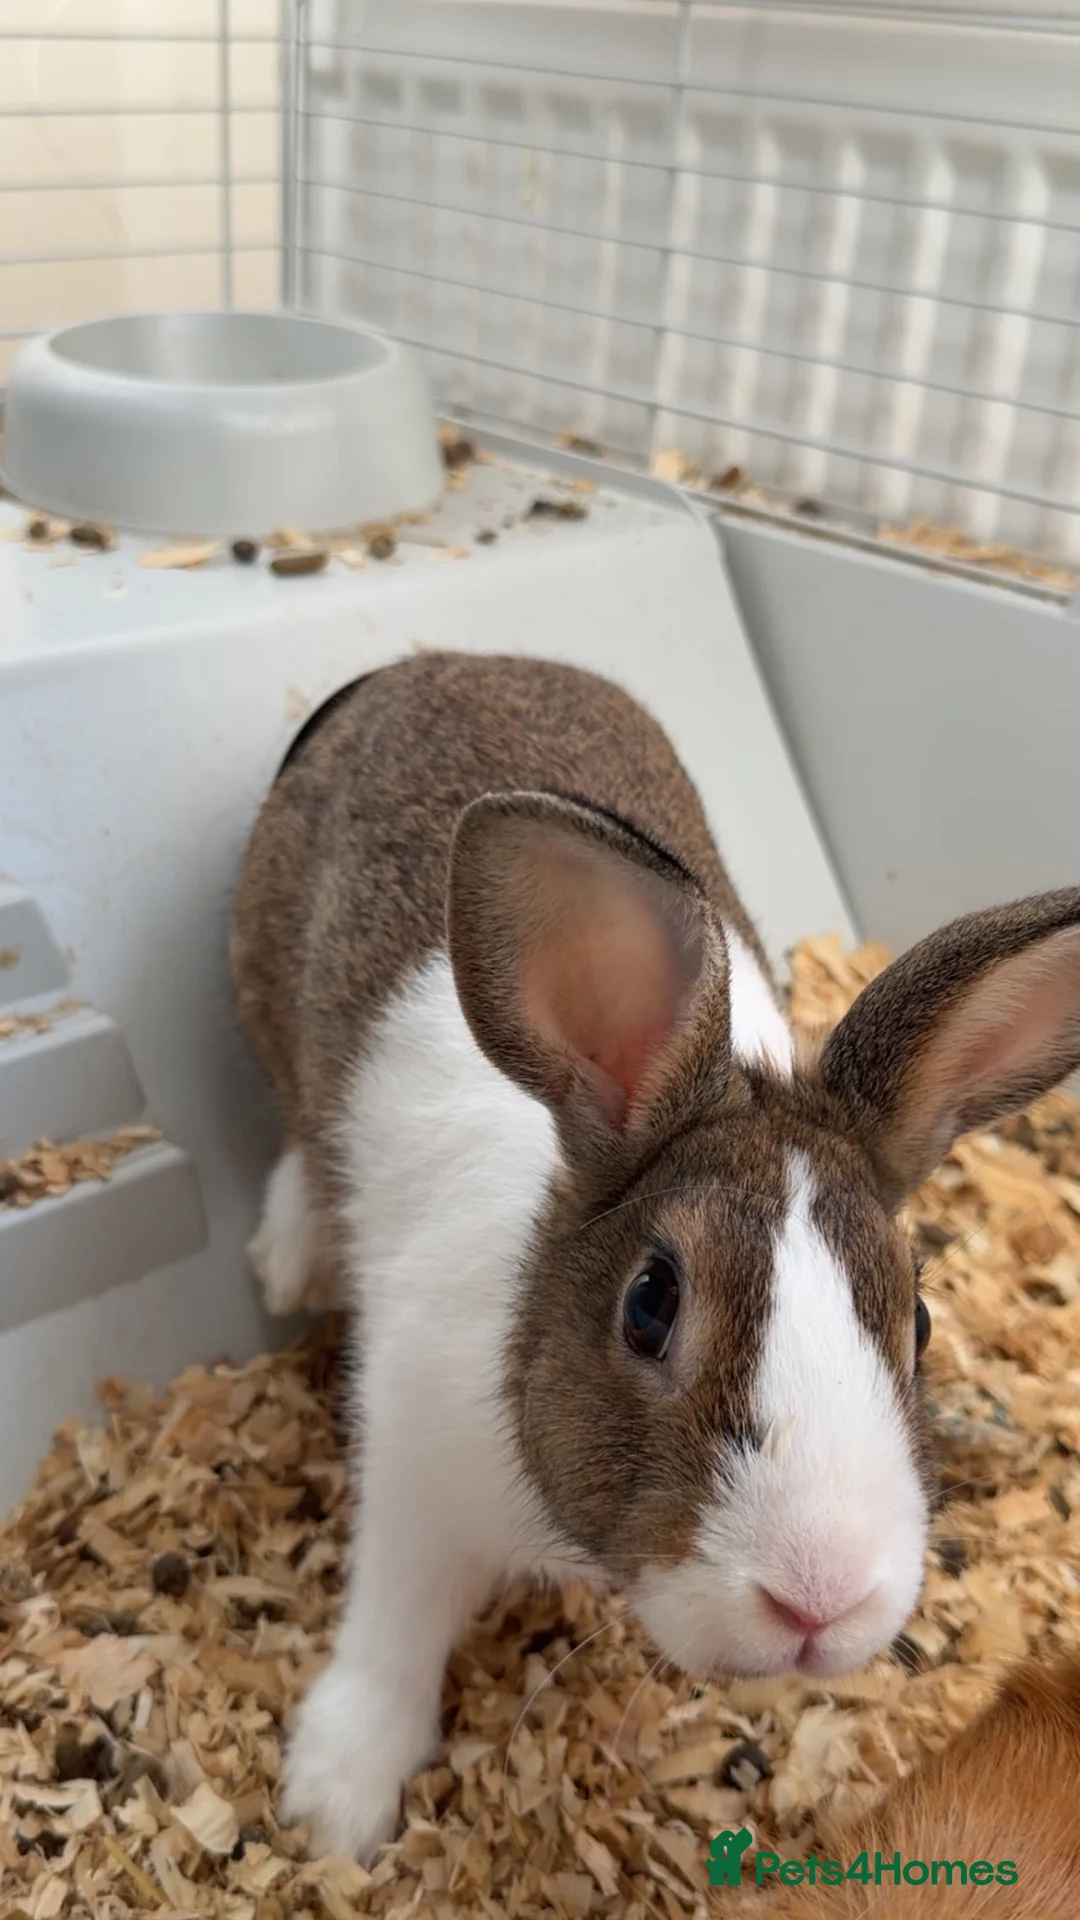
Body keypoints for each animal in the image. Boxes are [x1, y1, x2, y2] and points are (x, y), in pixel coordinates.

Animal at [230, 649, 1080, 1863]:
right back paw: (290, 1254)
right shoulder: (412, 1467)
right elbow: (394, 1622)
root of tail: (430, 659)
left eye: (918, 1320)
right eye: (651, 1304)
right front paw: (335, 1804)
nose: (819, 1601)